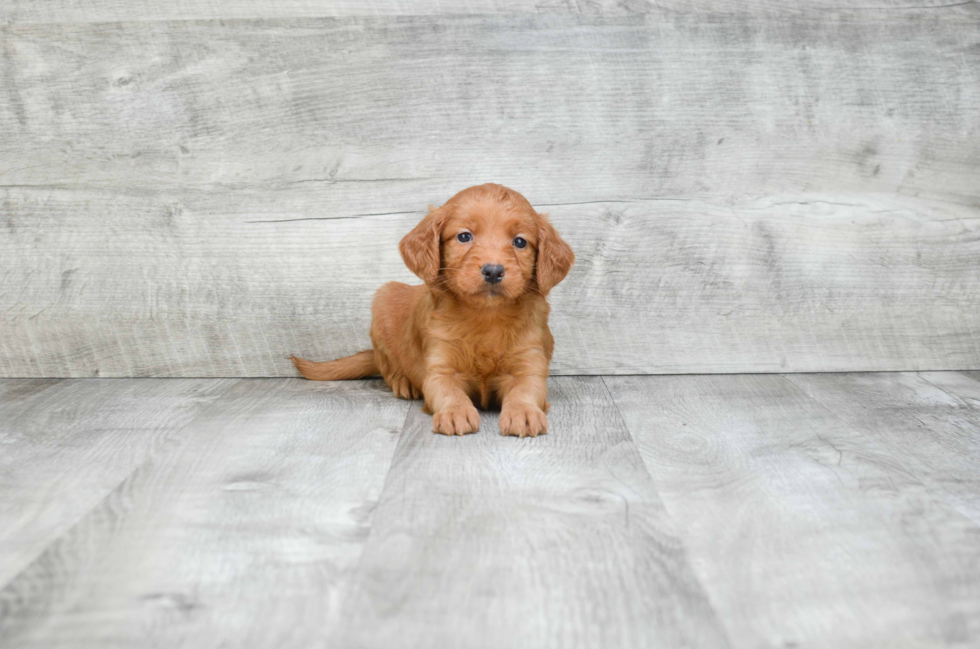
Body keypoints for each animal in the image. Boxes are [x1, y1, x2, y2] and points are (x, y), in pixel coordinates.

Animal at [290, 182, 572, 436]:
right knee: (386, 365)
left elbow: (524, 391)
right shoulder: (439, 368)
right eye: (464, 236)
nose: (493, 271)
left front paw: (523, 412)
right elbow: (449, 392)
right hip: (383, 301)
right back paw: (404, 383)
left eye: (520, 242)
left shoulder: (529, 364)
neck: (485, 316)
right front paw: (456, 412)